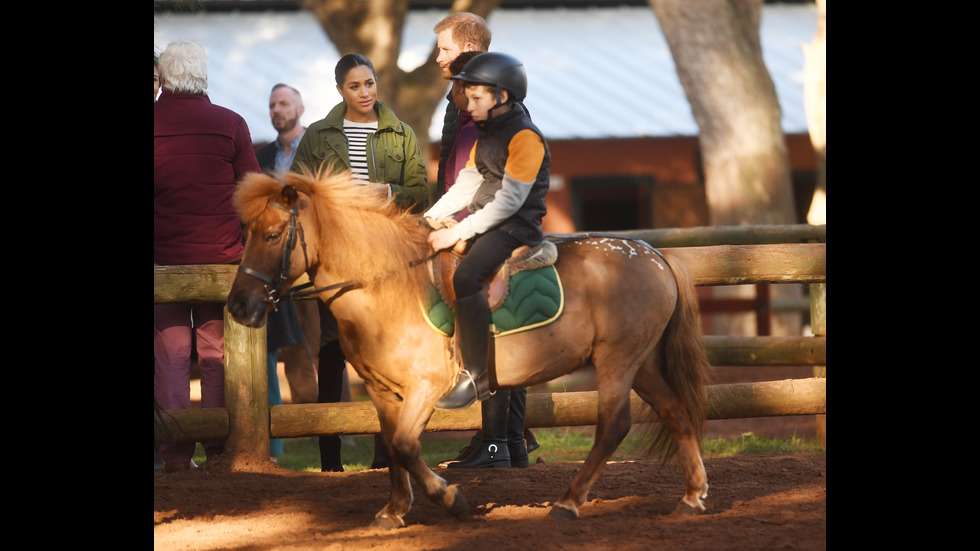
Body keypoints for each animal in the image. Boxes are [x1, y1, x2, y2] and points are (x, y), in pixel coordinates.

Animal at [226, 169, 708, 532]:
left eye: (273, 235)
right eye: (247, 233)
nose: (239, 307)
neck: (387, 285)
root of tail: (654, 254)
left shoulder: (427, 386)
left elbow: (405, 445)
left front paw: (449, 498)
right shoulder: (383, 392)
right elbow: (393, 448)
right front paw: (394, 511)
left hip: (617, 362)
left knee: (613, 426)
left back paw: (569, 502)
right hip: (642, 364)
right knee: (677, 413)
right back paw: (691, 497)